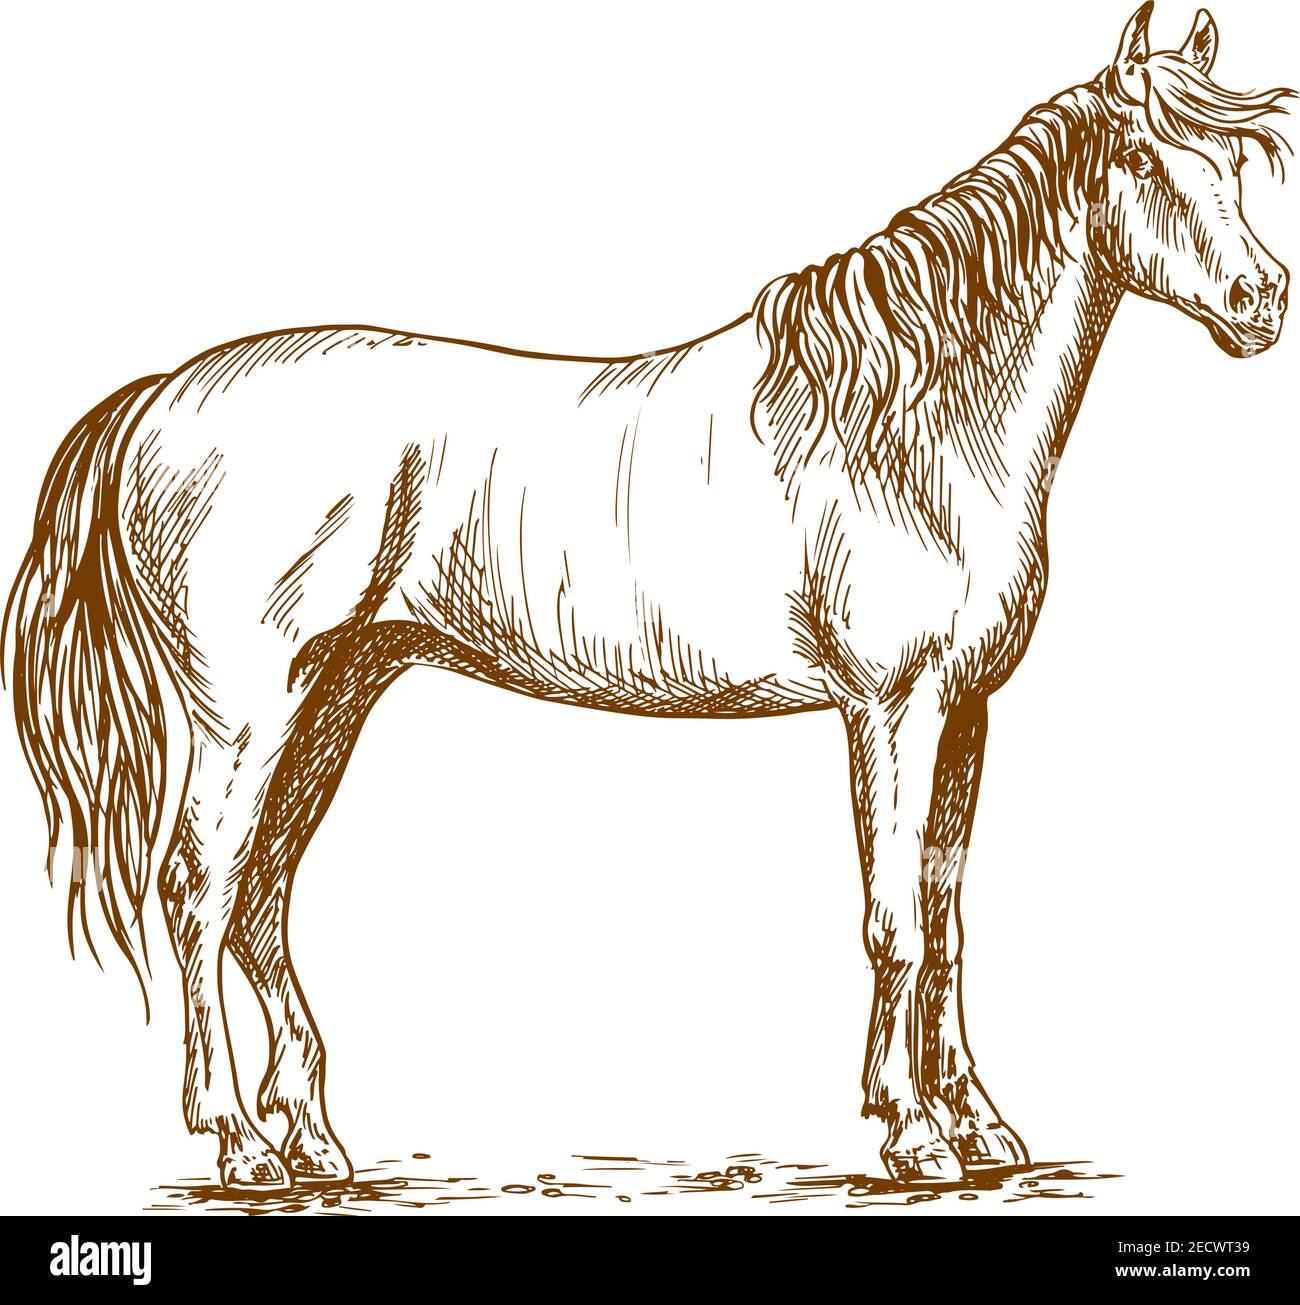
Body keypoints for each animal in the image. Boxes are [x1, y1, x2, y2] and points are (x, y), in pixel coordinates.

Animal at [5, 3, 1291, 1189]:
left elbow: (948, 917)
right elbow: (895, 922)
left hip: (336, 695)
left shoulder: (965, 709)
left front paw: (978, 1125)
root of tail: (162, 395)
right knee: (200, 891)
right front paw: (912, 1133)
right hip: (249, 711)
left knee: (262, 896)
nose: (1262, 300)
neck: (909, 427)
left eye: (1239, 160)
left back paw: (315, 1140)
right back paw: (239, 1142)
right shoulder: (891, 707)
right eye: (1145, 161)